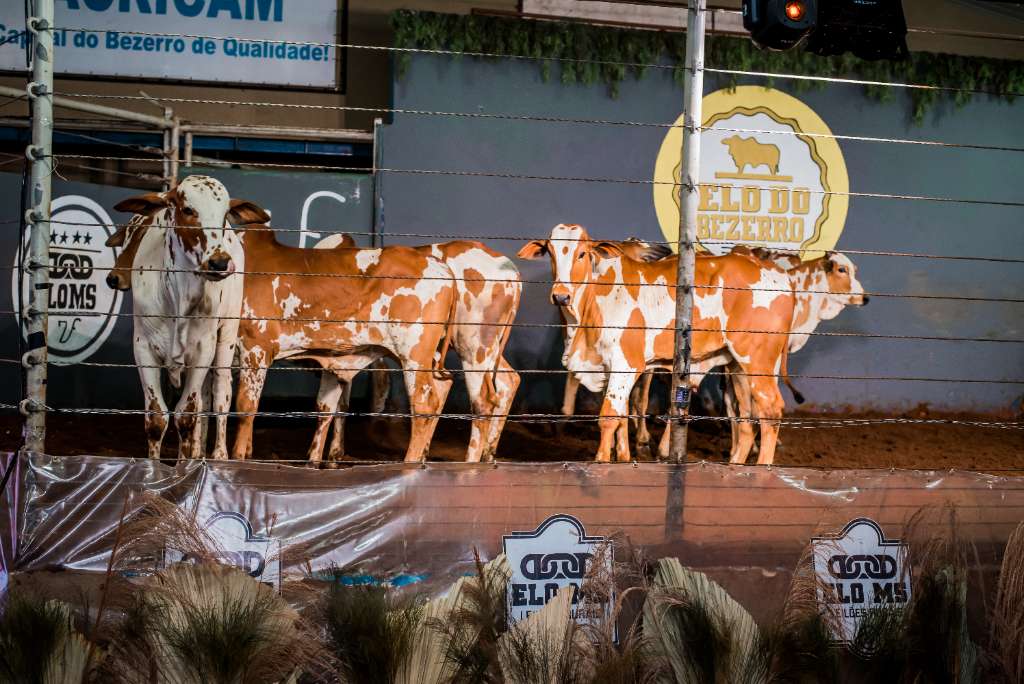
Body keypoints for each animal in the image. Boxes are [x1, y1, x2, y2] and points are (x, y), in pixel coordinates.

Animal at [105, 176, 256, 458]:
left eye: (224, 213)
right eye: (187, 209)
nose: (219, 263)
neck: (178, 298)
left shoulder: (203, 350)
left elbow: (185, 417)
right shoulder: (143, 349)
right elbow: (157, 419)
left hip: (226, 336)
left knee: (220, 395)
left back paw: (219, 456)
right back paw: (197, 452)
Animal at [232, 222, 460, 462]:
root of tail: (439, 266)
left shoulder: (255, 347)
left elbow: (244, 406)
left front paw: (236, 457)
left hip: (414, 355)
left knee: (424, 404)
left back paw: (410, 463)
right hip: (427, 355)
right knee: (442, 386)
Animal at [309, 235, 520, 464]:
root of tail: (511, 273)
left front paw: (331, 455)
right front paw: (335, 452)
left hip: (473, 347)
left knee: (481, 399)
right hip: (486, 349)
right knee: (509, 379)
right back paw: (487, 453)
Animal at [516, 224, 794, 464]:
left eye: (582, 253)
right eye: (550, 252)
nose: (561, 295)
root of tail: (778, 276)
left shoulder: (625, 364)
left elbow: (609, 418)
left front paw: (603, 462)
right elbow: (622, 417)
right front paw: (624, 456)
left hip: (758, 361)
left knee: (770, 411)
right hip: (738, 365)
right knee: (746, 421)